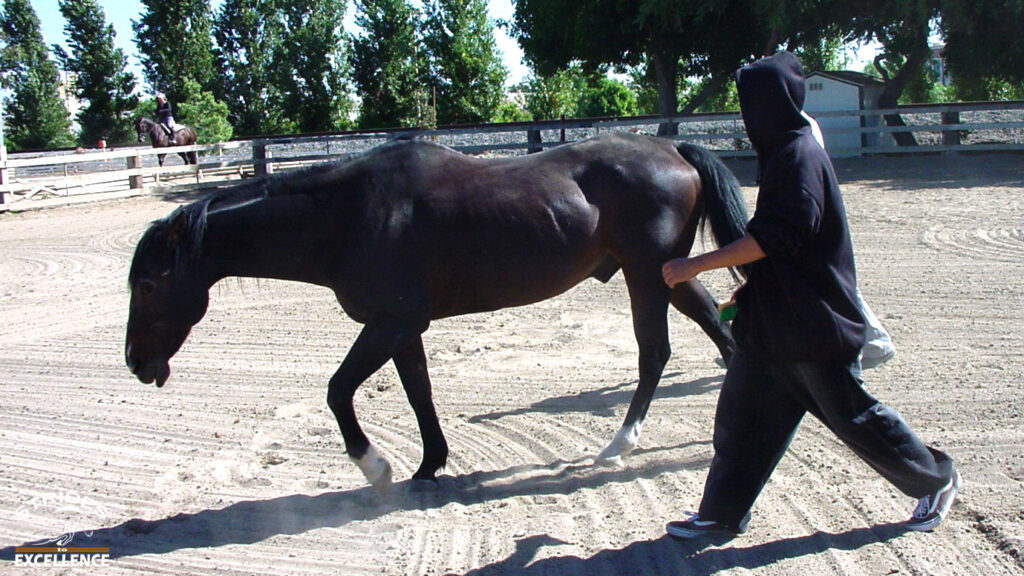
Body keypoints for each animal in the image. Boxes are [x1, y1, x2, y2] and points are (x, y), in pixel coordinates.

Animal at [125, 132, 753, 491]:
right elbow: (418, 392)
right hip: (668, 275)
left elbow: (338, 390)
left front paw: (376, 468)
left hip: (645, 276)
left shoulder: (392, 322)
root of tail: (672, 151)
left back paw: (620, 445)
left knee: (655, 354)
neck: (348, 215)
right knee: (719, 334)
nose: (135, 362)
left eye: (149, 283)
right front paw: (430, 465)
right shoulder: (403, 329)